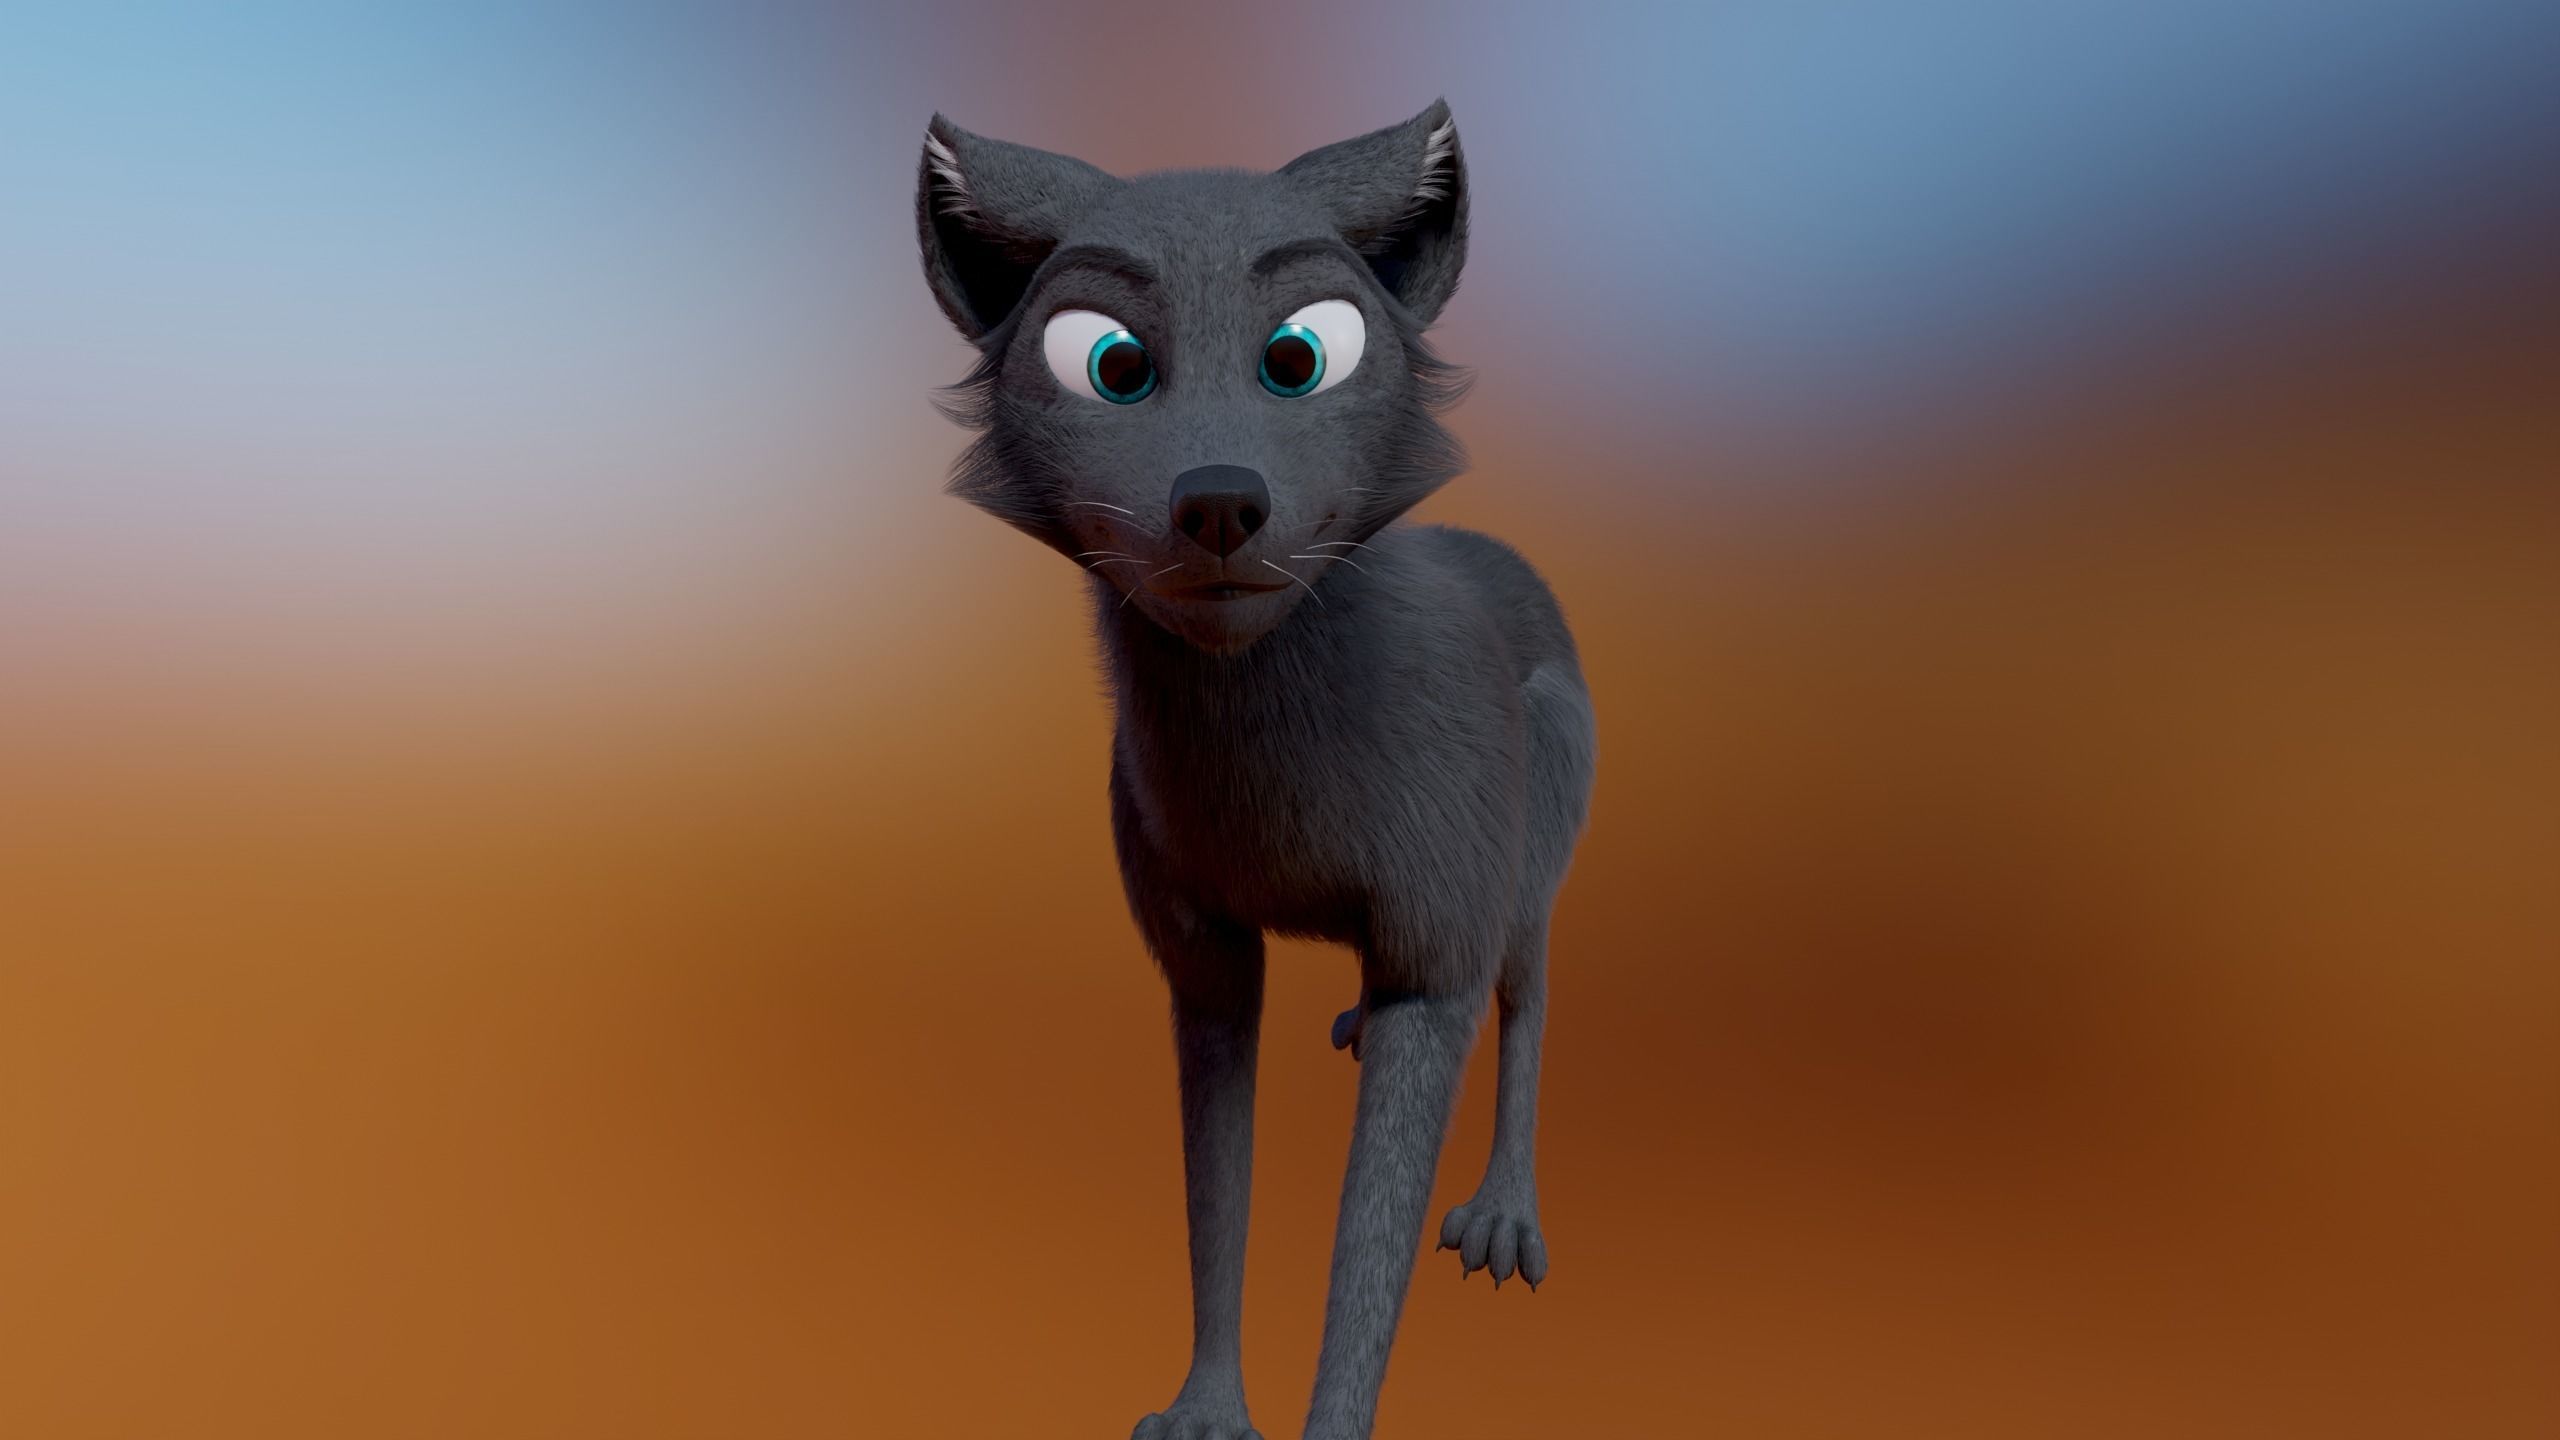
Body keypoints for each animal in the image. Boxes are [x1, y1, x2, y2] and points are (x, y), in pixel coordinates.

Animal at [915, 99, 1596, 1440]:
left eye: (1300, 356)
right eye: (1110, 364)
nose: (1218, 504)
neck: (1277, 783)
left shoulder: (1432, 958)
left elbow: (1365, 1259)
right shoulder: (1205, 967)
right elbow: (1214, 1201)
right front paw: (1206, 1408)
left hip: (1526, 854)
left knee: (1528, 994)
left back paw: (1504, 1215)